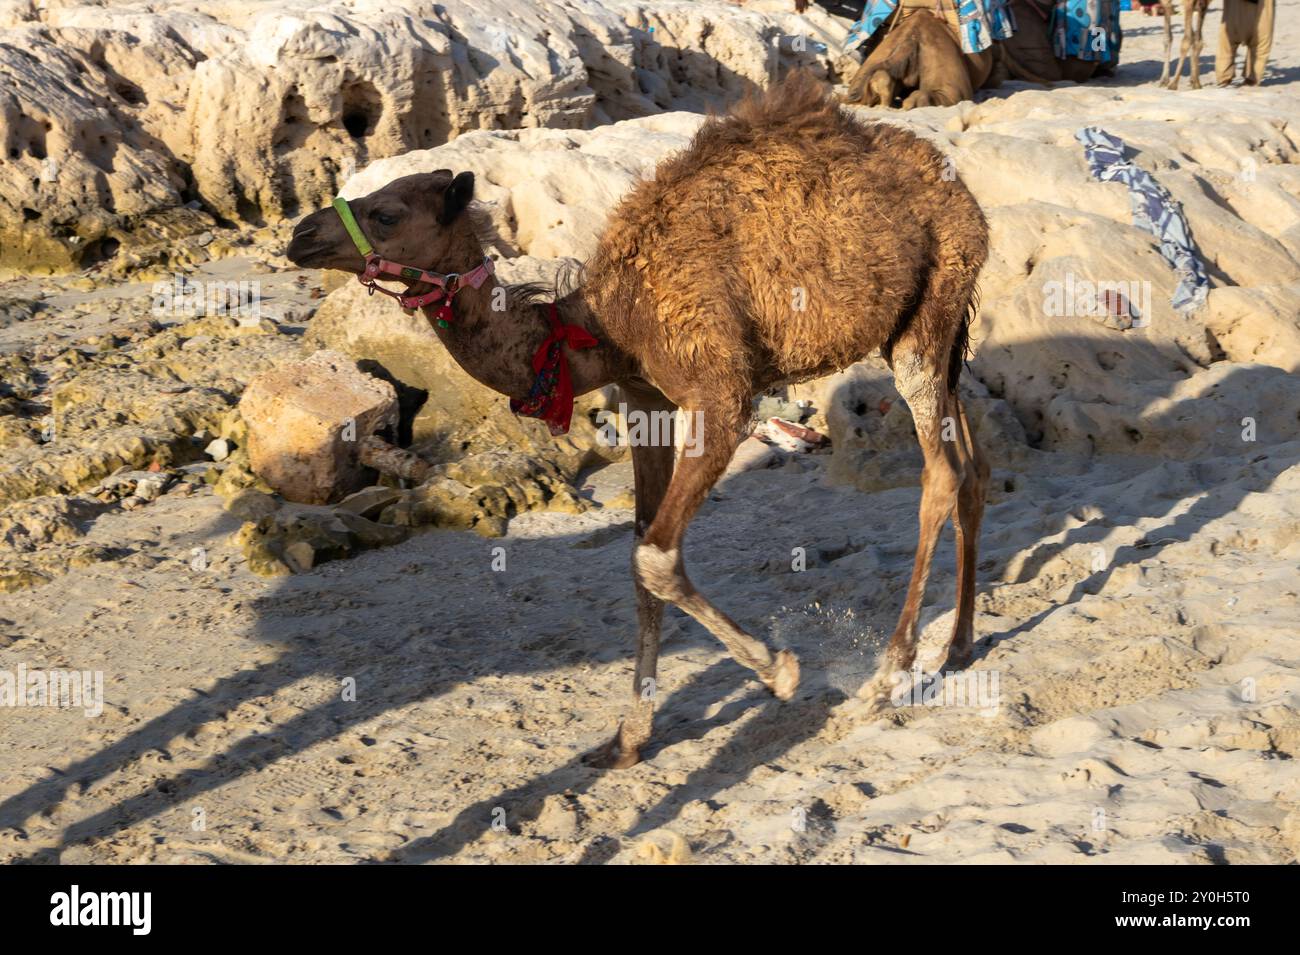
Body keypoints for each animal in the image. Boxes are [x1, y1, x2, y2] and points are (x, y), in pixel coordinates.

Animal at [287, 76, 982, 779]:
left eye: (387, 213)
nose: (300, 233)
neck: (603, 325)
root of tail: (956, 187)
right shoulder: (647, 401)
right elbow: (642, 553)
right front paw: (627, 739)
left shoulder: (720, 394)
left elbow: (654, 556)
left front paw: (779, 670)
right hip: (938, 330)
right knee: (973, 473)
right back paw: (957, 645)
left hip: (928, 314)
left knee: (940, 477)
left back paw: (882, 682)